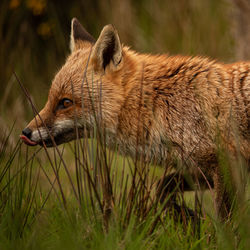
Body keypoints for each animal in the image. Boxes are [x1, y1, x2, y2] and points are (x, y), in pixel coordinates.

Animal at [20, 18, 249, 219]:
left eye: (65, 102)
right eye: (50, 99)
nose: (25, 132)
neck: (160, 103)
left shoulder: (226, 163)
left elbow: (225, 222)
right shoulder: (199, 169)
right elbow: (160, 188)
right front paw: (185, 216)